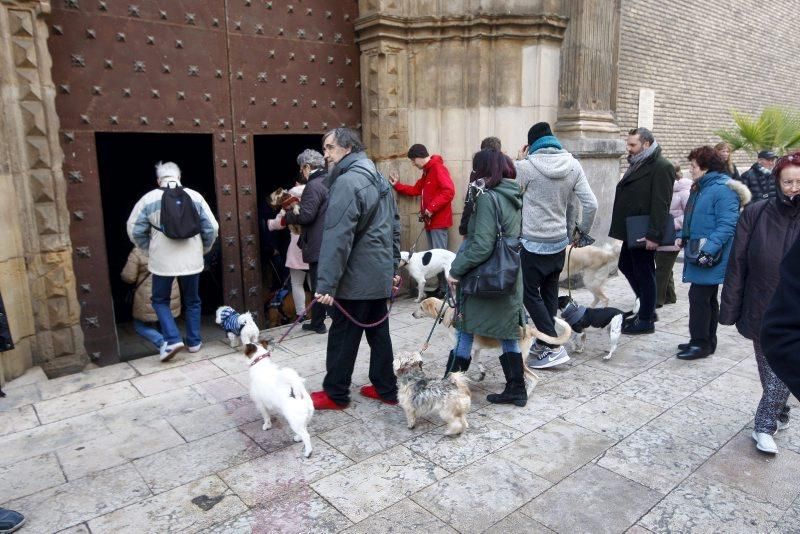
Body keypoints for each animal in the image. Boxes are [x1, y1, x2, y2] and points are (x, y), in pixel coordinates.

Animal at [412, 298, 576, 394]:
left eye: (421, 307)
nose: (412, 314)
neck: (449, 313)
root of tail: (529, 329)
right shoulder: (476, 349)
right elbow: (477, 362)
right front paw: (481, 374)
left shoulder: (462, 348)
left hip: (521, 359)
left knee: (534, 378)